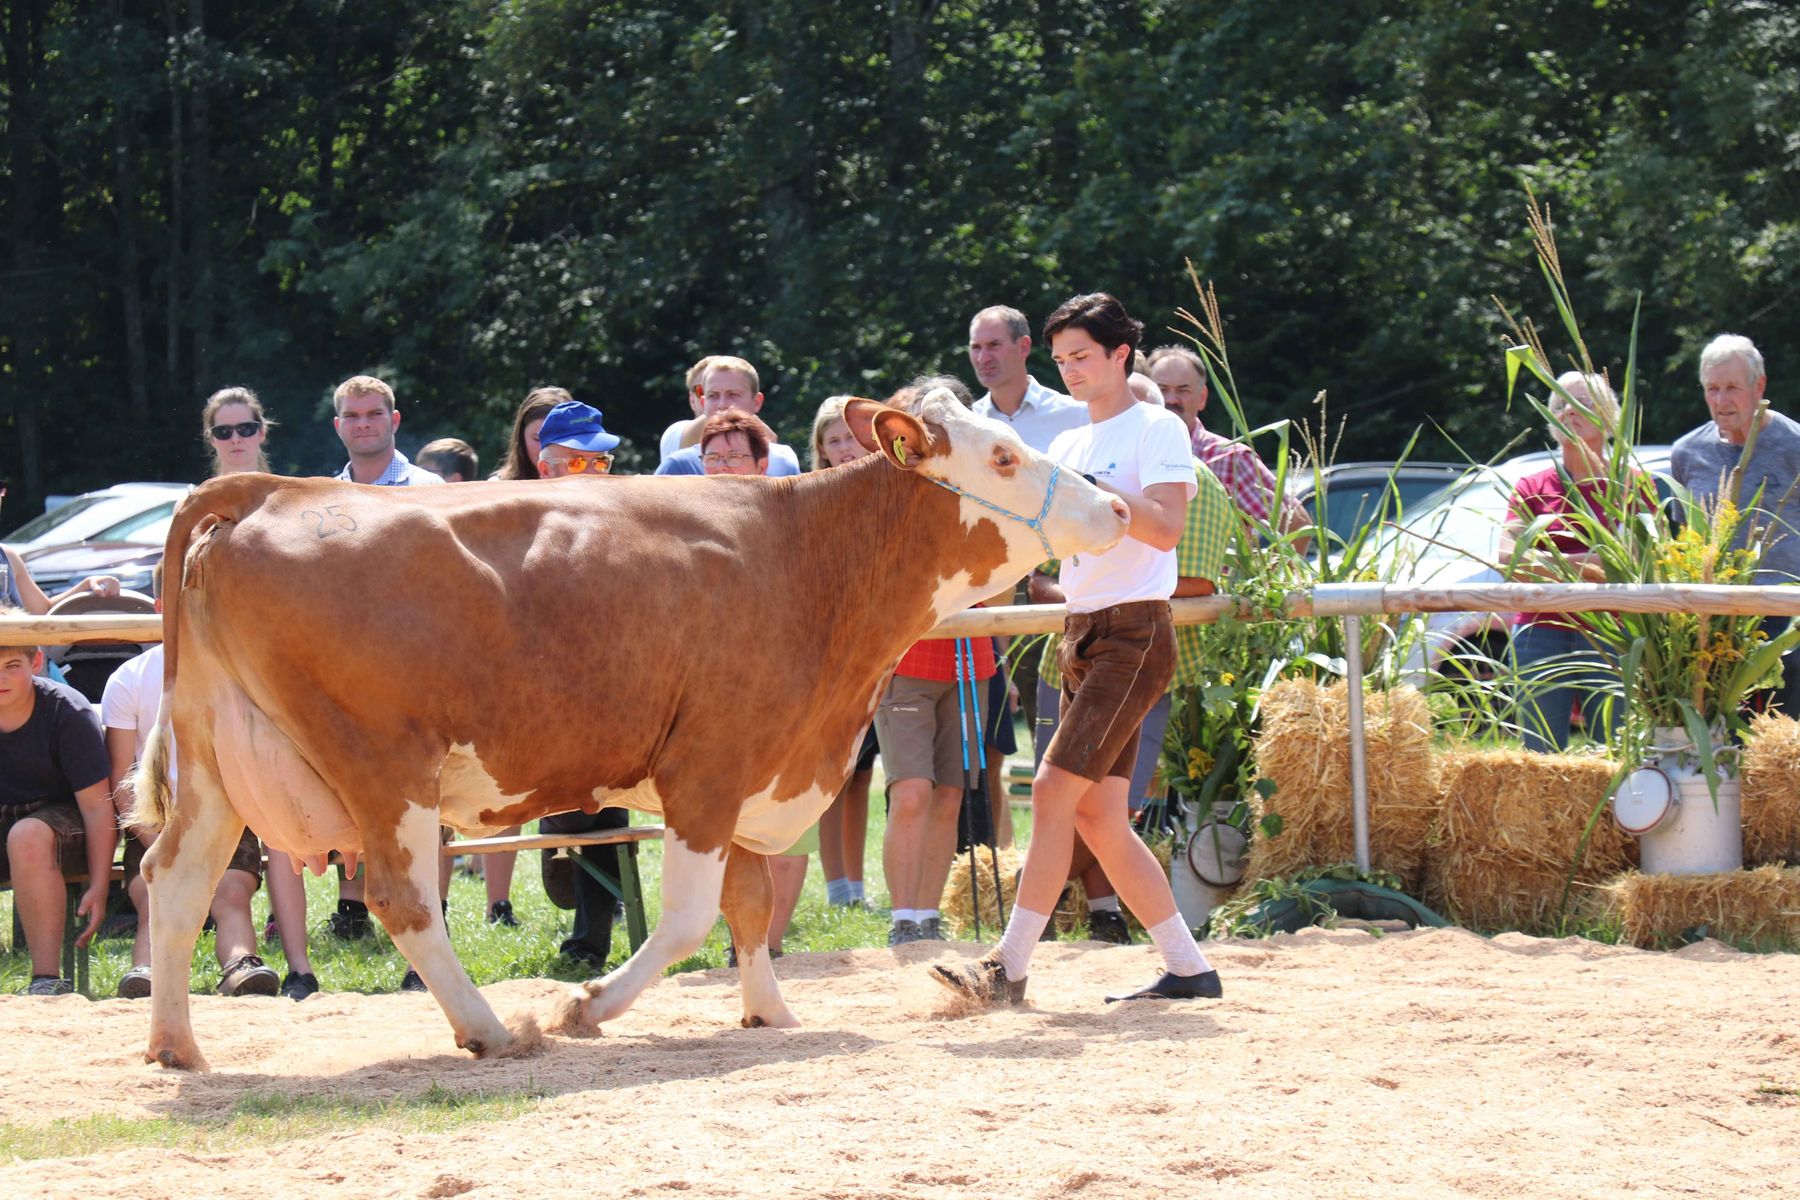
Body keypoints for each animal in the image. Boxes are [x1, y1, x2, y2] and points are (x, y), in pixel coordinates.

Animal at [133, 390, 1123, 1065]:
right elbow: (687, 919)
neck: (804, 556)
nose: (1116, 508)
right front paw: (589, 1006)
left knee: (173, 880)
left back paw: (178, 1047)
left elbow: (750, 903)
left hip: (216, 758)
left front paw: (770, 1011)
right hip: (383, 762)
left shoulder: (755, 767)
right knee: (402, 899)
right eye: (1003, 457)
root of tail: (268, 490)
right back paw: (492, 1028)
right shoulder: (707, 768)